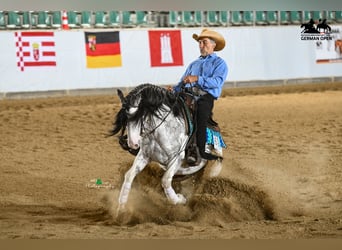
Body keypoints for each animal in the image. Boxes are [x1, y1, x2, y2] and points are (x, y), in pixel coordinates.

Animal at [109, 83, 227, 215]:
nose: (132, 144)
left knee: (216, 162)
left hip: (213, 149)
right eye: (125, 120)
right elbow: (129, 175)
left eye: (141, 116)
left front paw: (179, 199)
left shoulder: (177, 158)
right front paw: (121, 209)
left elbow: (165, 180)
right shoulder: (144, 155)